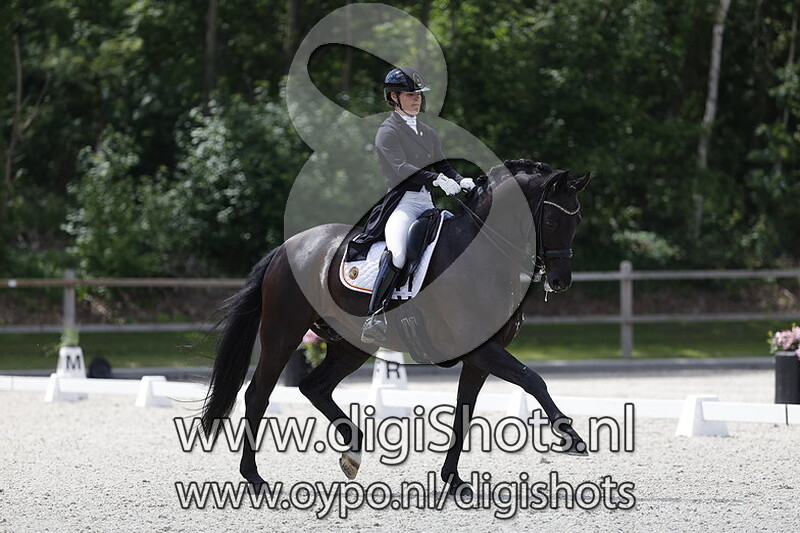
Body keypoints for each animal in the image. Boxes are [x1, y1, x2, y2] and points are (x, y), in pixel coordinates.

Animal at [201, 159, 592, 495]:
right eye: (552, 223)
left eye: (577, 222)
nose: (560, 282)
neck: (482, 254)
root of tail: (285, 249)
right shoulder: (482, 350)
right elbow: (533, 380)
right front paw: (571, 437)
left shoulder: (478, 356)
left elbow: (464, 410)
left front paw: (452, 479)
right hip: (283, 332)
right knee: (258, 394)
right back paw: (254, 477)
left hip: (350, 345)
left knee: (315, 387)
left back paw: (353, 451)